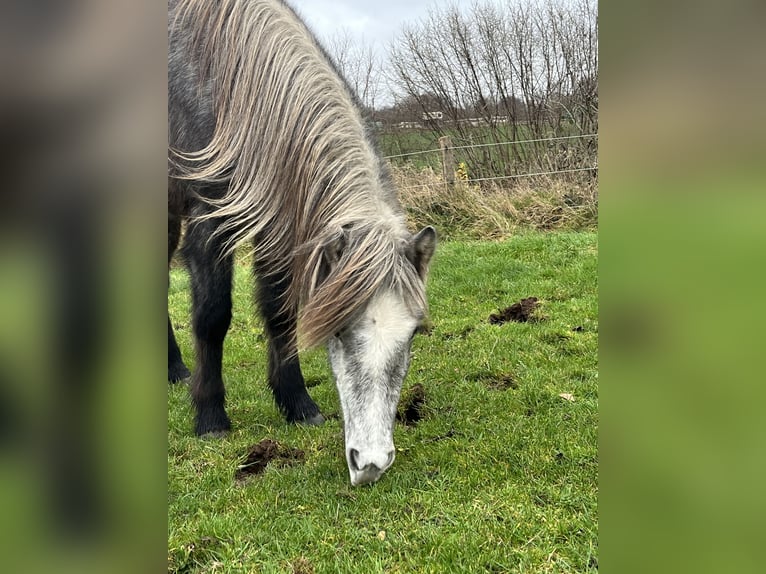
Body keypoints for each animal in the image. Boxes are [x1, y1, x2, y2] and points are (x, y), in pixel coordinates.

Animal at [167, 0, 436, 486]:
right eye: (339, 331)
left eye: (412, 334)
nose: (370, 464)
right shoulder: (209, 226)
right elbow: (212, 317)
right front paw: (211, 417)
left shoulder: (276, 230)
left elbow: (280, 313)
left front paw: (297, 404)